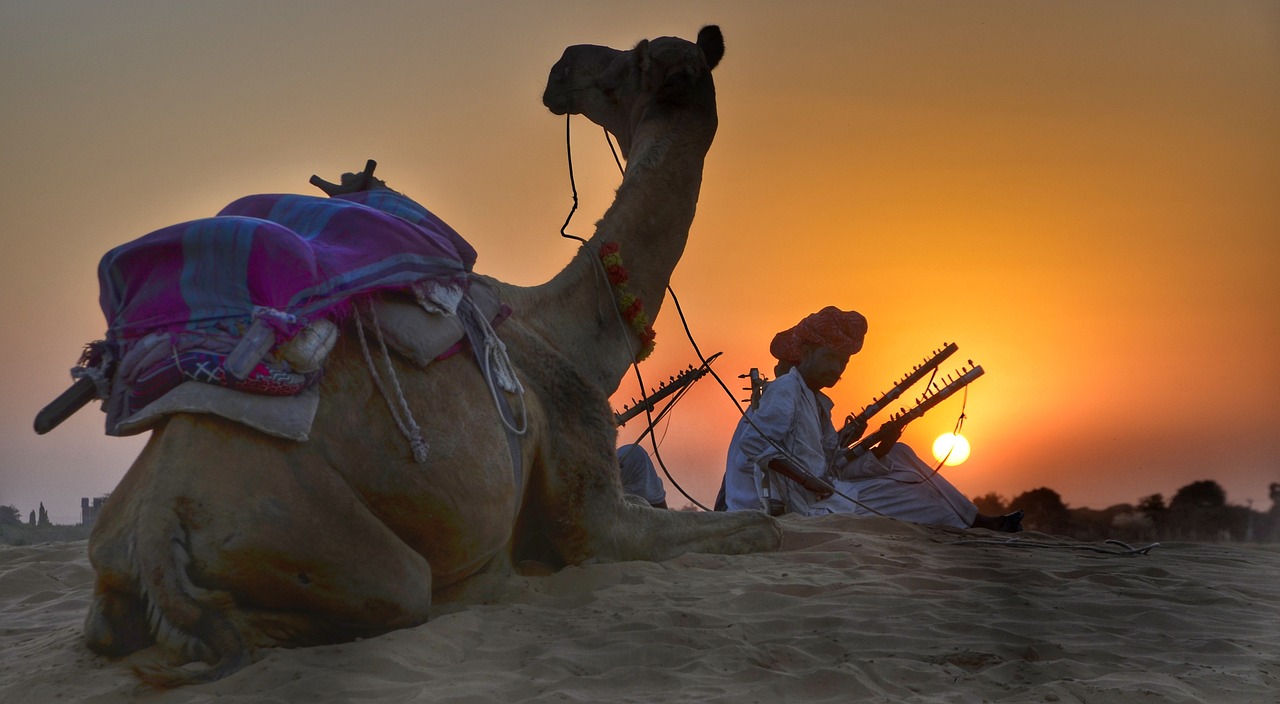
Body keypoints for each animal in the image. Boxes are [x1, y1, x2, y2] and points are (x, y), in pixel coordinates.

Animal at [82, 24, 778, 686]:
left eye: (633, 57)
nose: (562, 65)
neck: (569, 333)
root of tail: (157, 521)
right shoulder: (593, 512)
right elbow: (763, 527)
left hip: (117, 549)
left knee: (107, 632)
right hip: (326, 537)